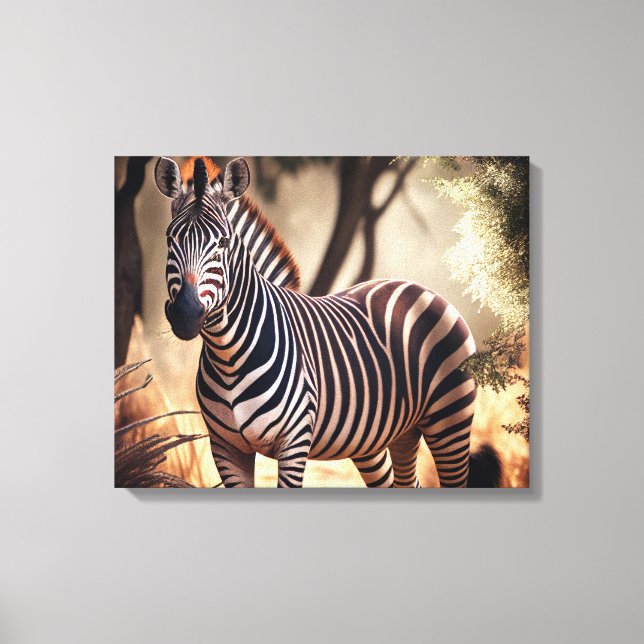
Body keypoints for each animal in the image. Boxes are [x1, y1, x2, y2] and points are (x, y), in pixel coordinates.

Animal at [154, 156, 501, 488]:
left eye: (223, 243)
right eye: (170, 239)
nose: (186, 313)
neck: (228, 356)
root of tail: (422, 288)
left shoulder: (293, 443)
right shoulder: (226, 449)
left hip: (450, 420)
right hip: (387, 434)